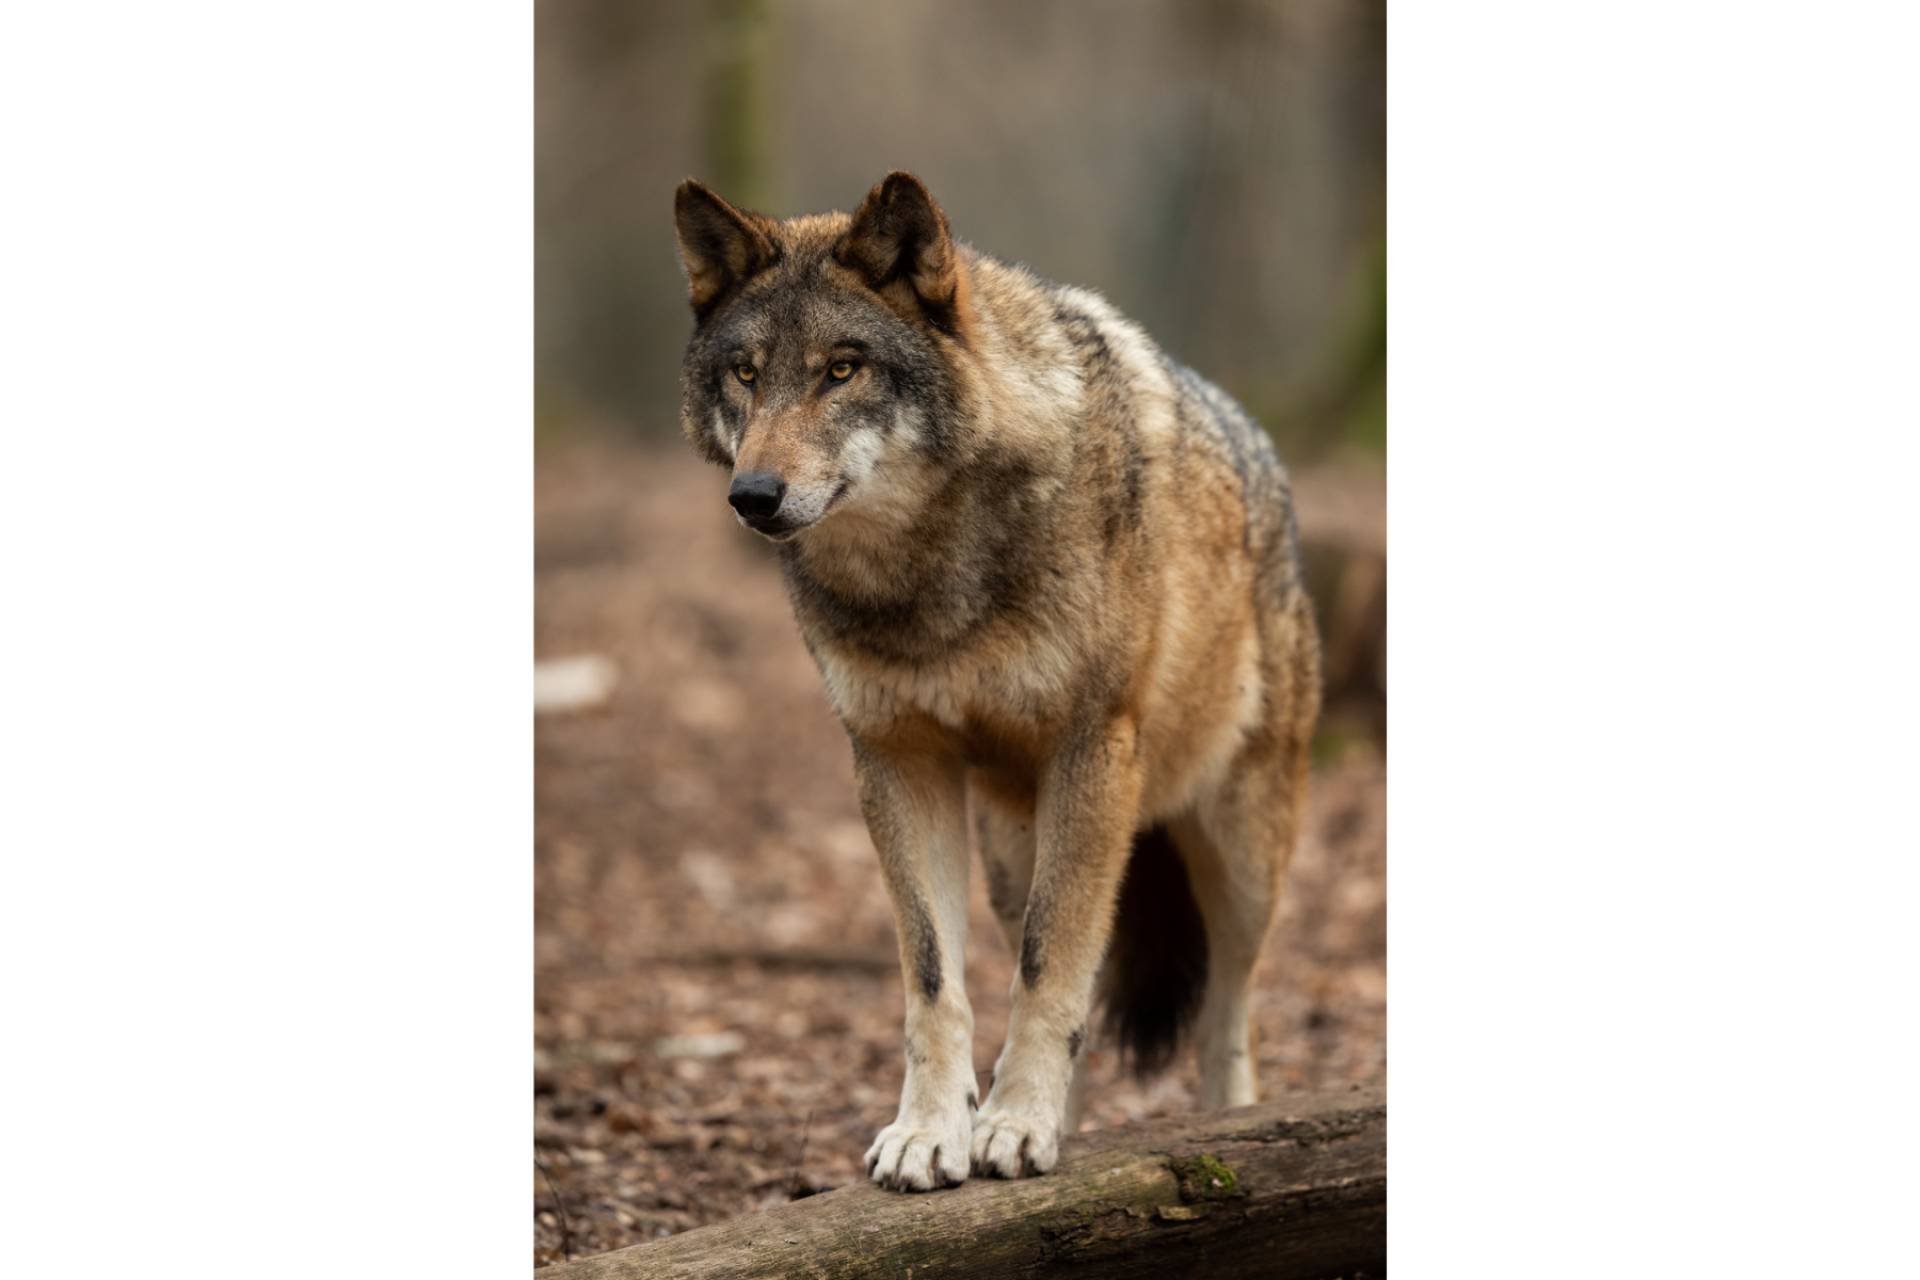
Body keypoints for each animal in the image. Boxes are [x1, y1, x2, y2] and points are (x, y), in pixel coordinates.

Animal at [671, 172, 1320, 1191]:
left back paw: (1221, 1123)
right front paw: (936, 1133)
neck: (930, 578)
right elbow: (940, 981)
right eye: (745, 373)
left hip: (1239, 852)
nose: (754, 496)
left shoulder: (1094, 749)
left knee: (1227, 1009)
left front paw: (1013, 1122)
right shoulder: (897, 761)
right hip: (1020, 852)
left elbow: (1050, 970)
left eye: (842, 369)